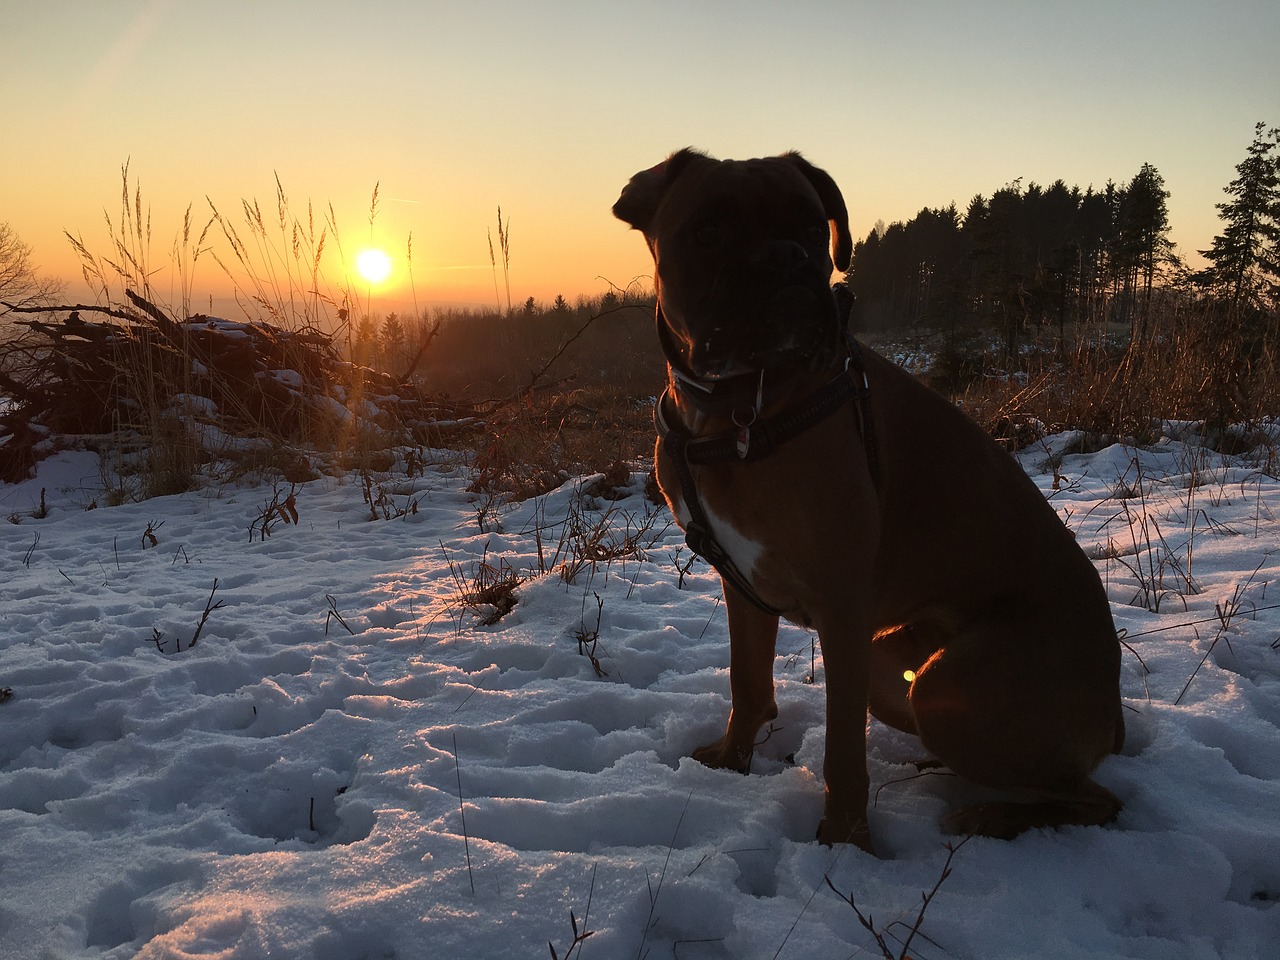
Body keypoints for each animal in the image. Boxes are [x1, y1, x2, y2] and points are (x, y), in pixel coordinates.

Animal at [614, 150, 1126, 849]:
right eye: (709, 230)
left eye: (812, 227)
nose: (788, 257)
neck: (737, 408)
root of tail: (1114, 699)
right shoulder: (743, 587)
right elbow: (748, 683)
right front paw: (733, 761)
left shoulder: (842, 607)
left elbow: (841, 750)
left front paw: (845, 838)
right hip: (896, 670)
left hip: (947, 687)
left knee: (1098, 800)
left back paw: (993, 815)